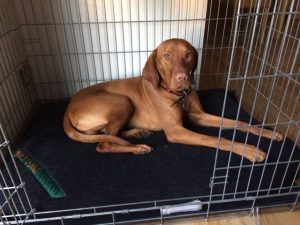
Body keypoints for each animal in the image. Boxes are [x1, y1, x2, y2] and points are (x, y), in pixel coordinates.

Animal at [62, 38, 282, 162]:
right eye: (166, 56)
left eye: (189, 54)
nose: (182, 78)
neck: (178, 94)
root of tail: (68, 109)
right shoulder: (176, 131)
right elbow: (215, 138)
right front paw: (246, 149)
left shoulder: (197, 115)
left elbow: (238, 122)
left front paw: (266, 132)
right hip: (122, 101)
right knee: (104, 144)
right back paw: (137, 147)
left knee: (109, 135)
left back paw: (137, 132)